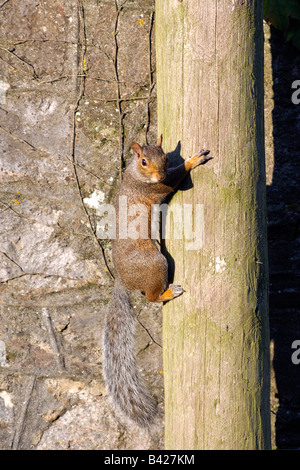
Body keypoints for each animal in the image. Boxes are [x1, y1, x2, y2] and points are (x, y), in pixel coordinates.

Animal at [103, 134, 211, 428]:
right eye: (143, 161)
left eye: (164, 156)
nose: (160, 172)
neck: (134, 174)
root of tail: (123, 281)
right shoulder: (153, 188)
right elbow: (174, 179)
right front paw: (193, 160)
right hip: (156, 264)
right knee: (151, 297)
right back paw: (168, 293)